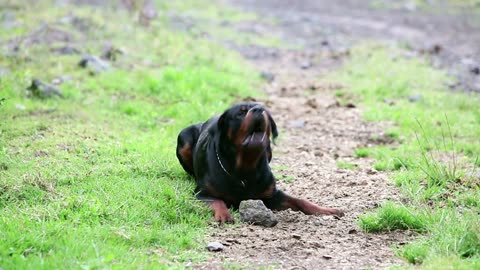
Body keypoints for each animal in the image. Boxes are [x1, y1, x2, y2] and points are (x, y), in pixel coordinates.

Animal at [176, 102, 344, 223]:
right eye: (241, 112)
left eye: (265, 111)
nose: (258, 109)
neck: (245, 167)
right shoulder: (202, 194)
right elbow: (218, 202)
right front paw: (224, 215)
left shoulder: (272, 196)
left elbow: (301, 201)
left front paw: (326, 210)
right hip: (183, 138)